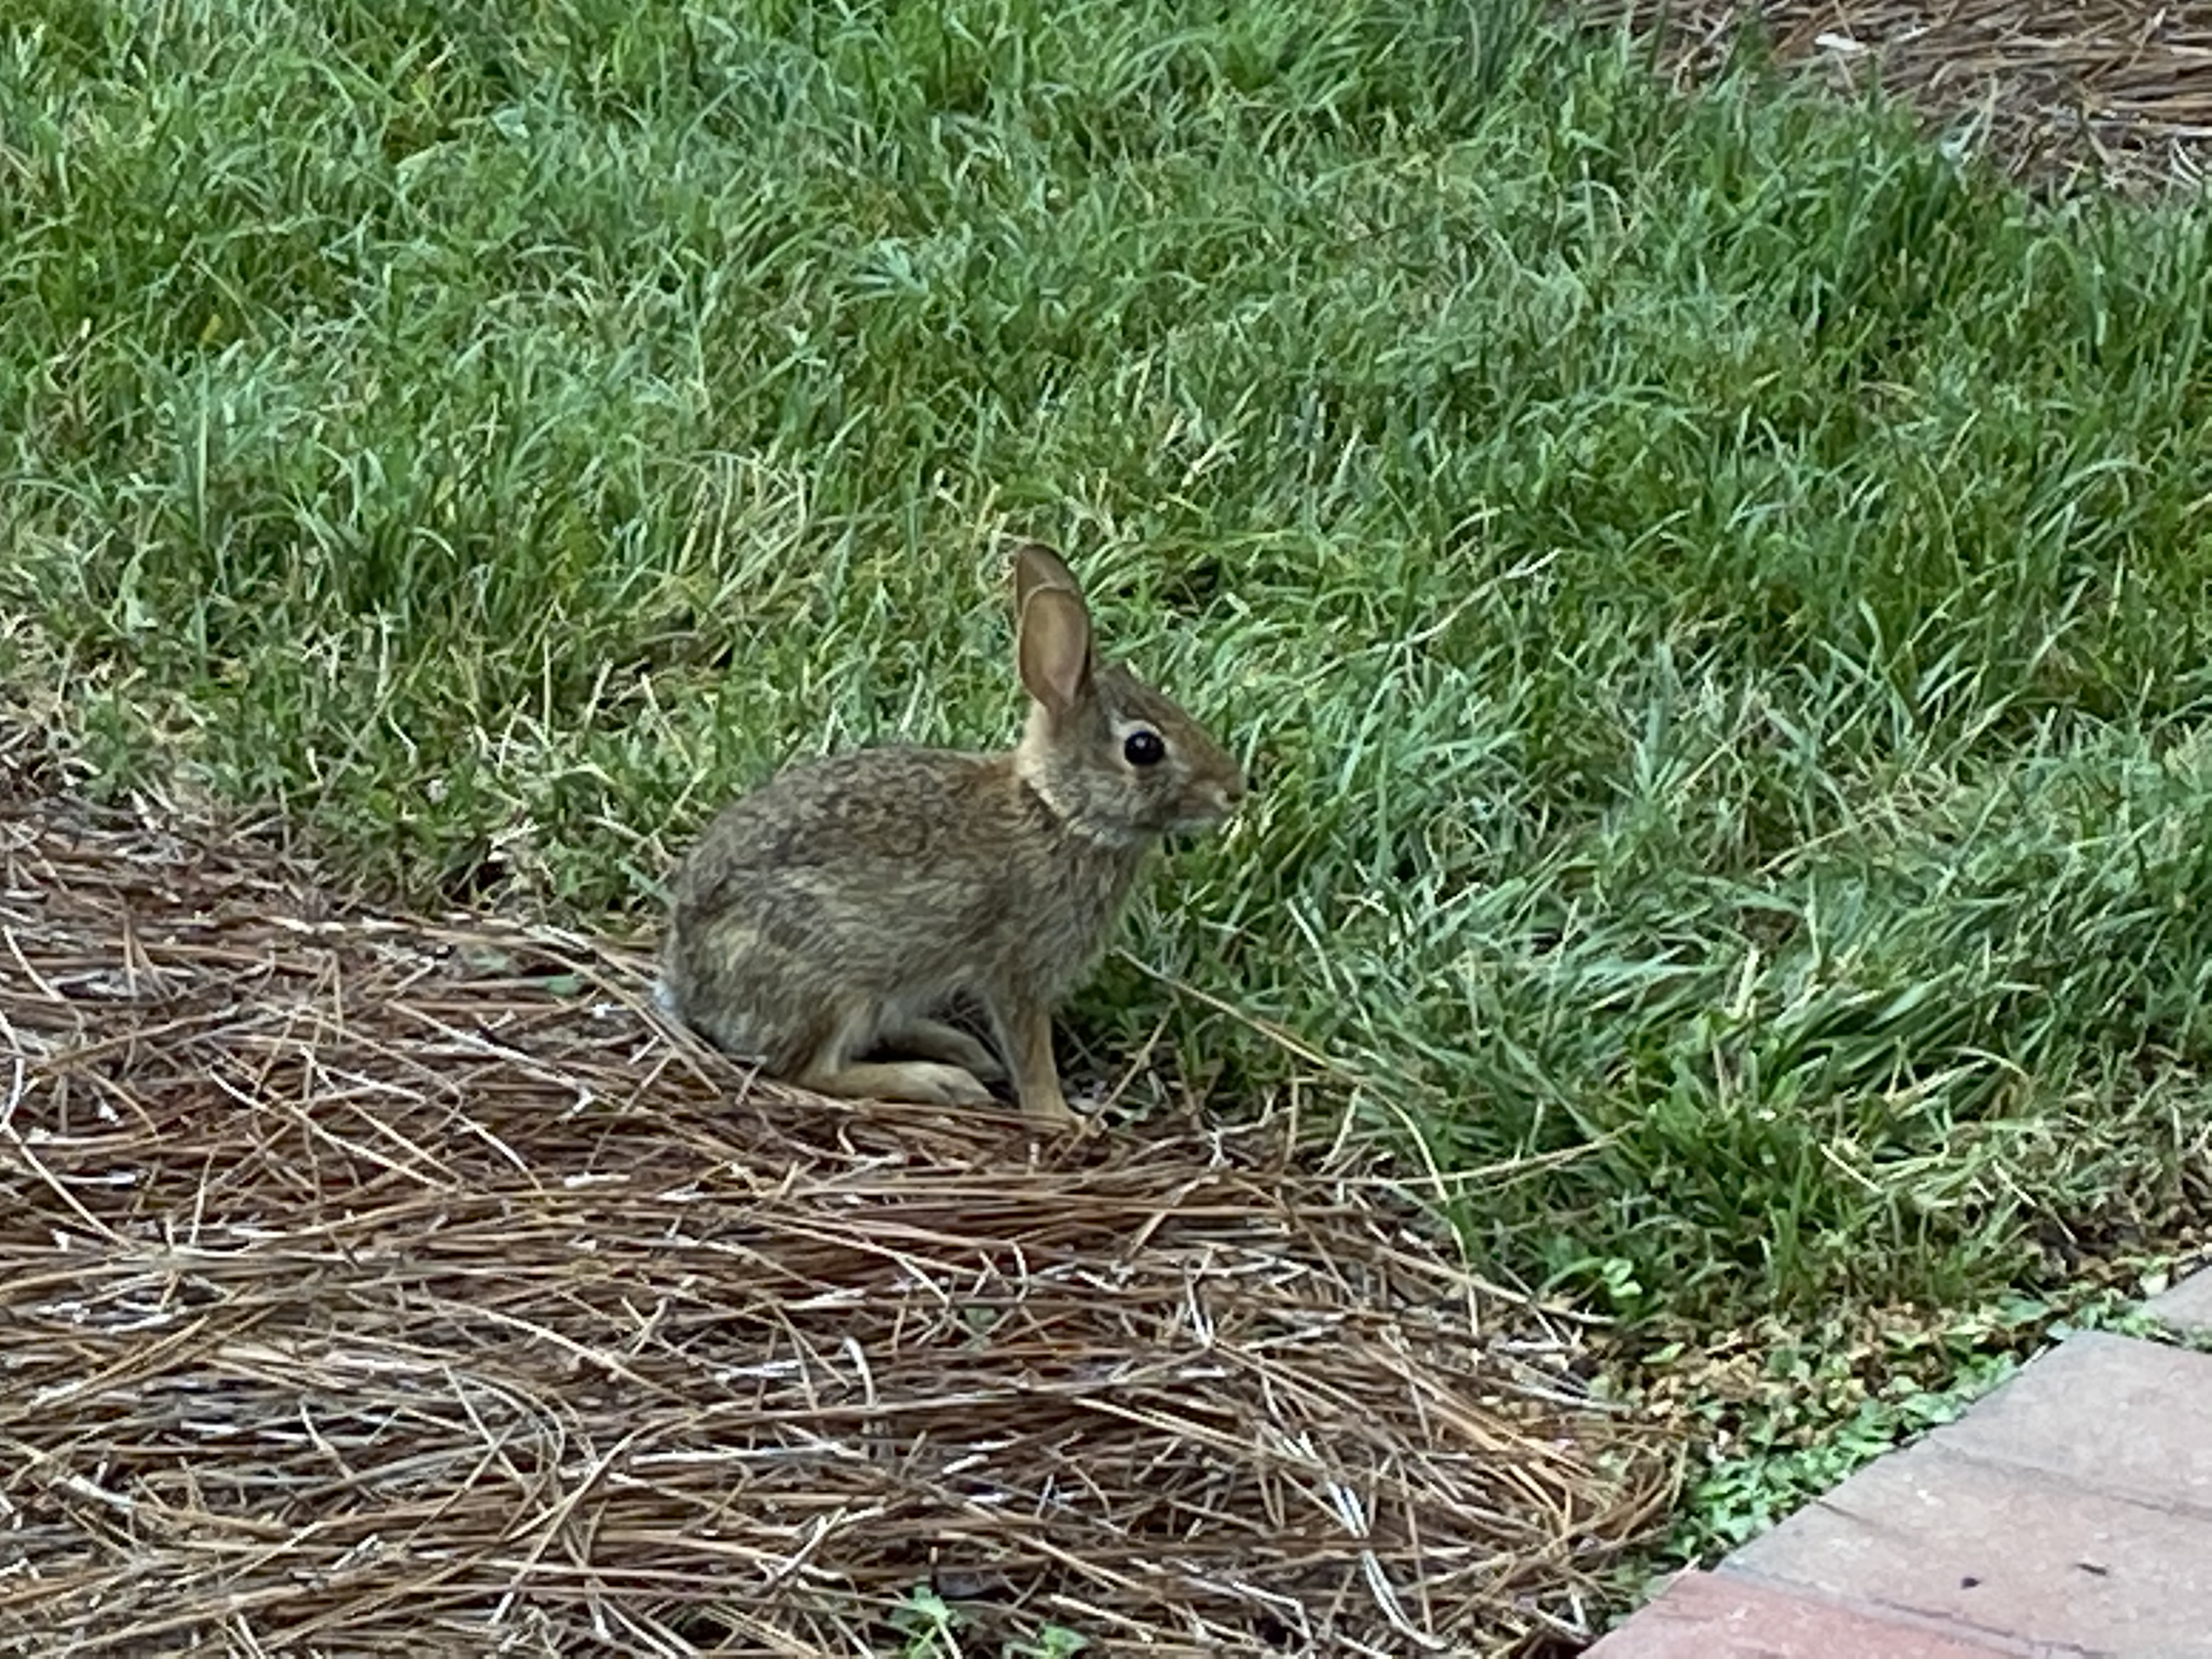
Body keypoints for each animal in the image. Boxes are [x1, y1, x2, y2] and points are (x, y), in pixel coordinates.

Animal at [659, 542, 1246, 1133]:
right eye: (1144, 747)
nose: (1235, 791)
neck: (1057, 812)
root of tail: (691, 985)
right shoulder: (1017, 968)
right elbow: (1032, 1052)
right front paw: (1062, 1118)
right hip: (832, 979)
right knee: (812, 1071)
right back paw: (939, 1081)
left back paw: (962, 1051)